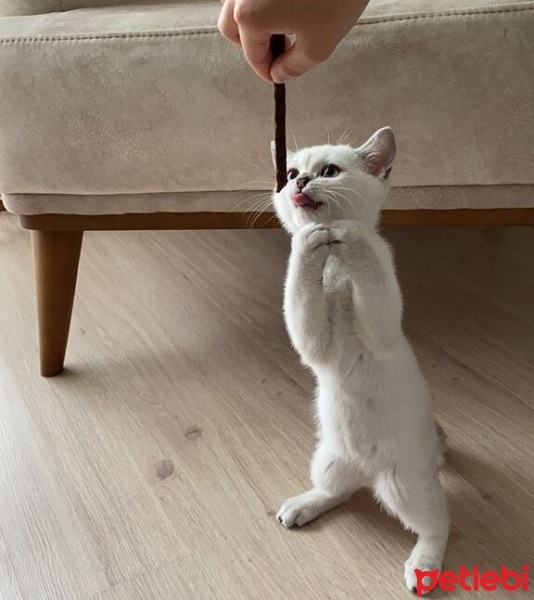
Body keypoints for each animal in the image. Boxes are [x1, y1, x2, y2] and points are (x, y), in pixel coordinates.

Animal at [274, 127, 450, 596]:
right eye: (292, 173)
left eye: (330, 172)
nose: (301, 183)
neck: (333, 269)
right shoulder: (311, 342)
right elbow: (299, 279)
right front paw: (310, 240)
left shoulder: (382, 326)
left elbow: (367, 255)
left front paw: (346, 232)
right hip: (328, 461)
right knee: (340, 490)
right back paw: (302, 506)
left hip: (401, 485)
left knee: (439, 523)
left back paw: (423, 567)